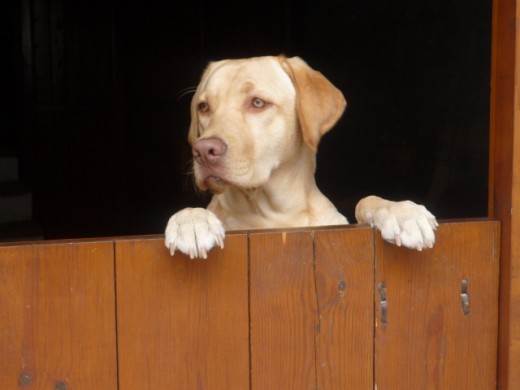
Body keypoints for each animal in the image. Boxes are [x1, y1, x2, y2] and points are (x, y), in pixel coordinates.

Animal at [165, 55, 436, 258]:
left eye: (258, 103)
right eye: (203, 107)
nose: (203, 151)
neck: (274, 213)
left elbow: (365, 200)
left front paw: (401, 212)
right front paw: (191, 221)